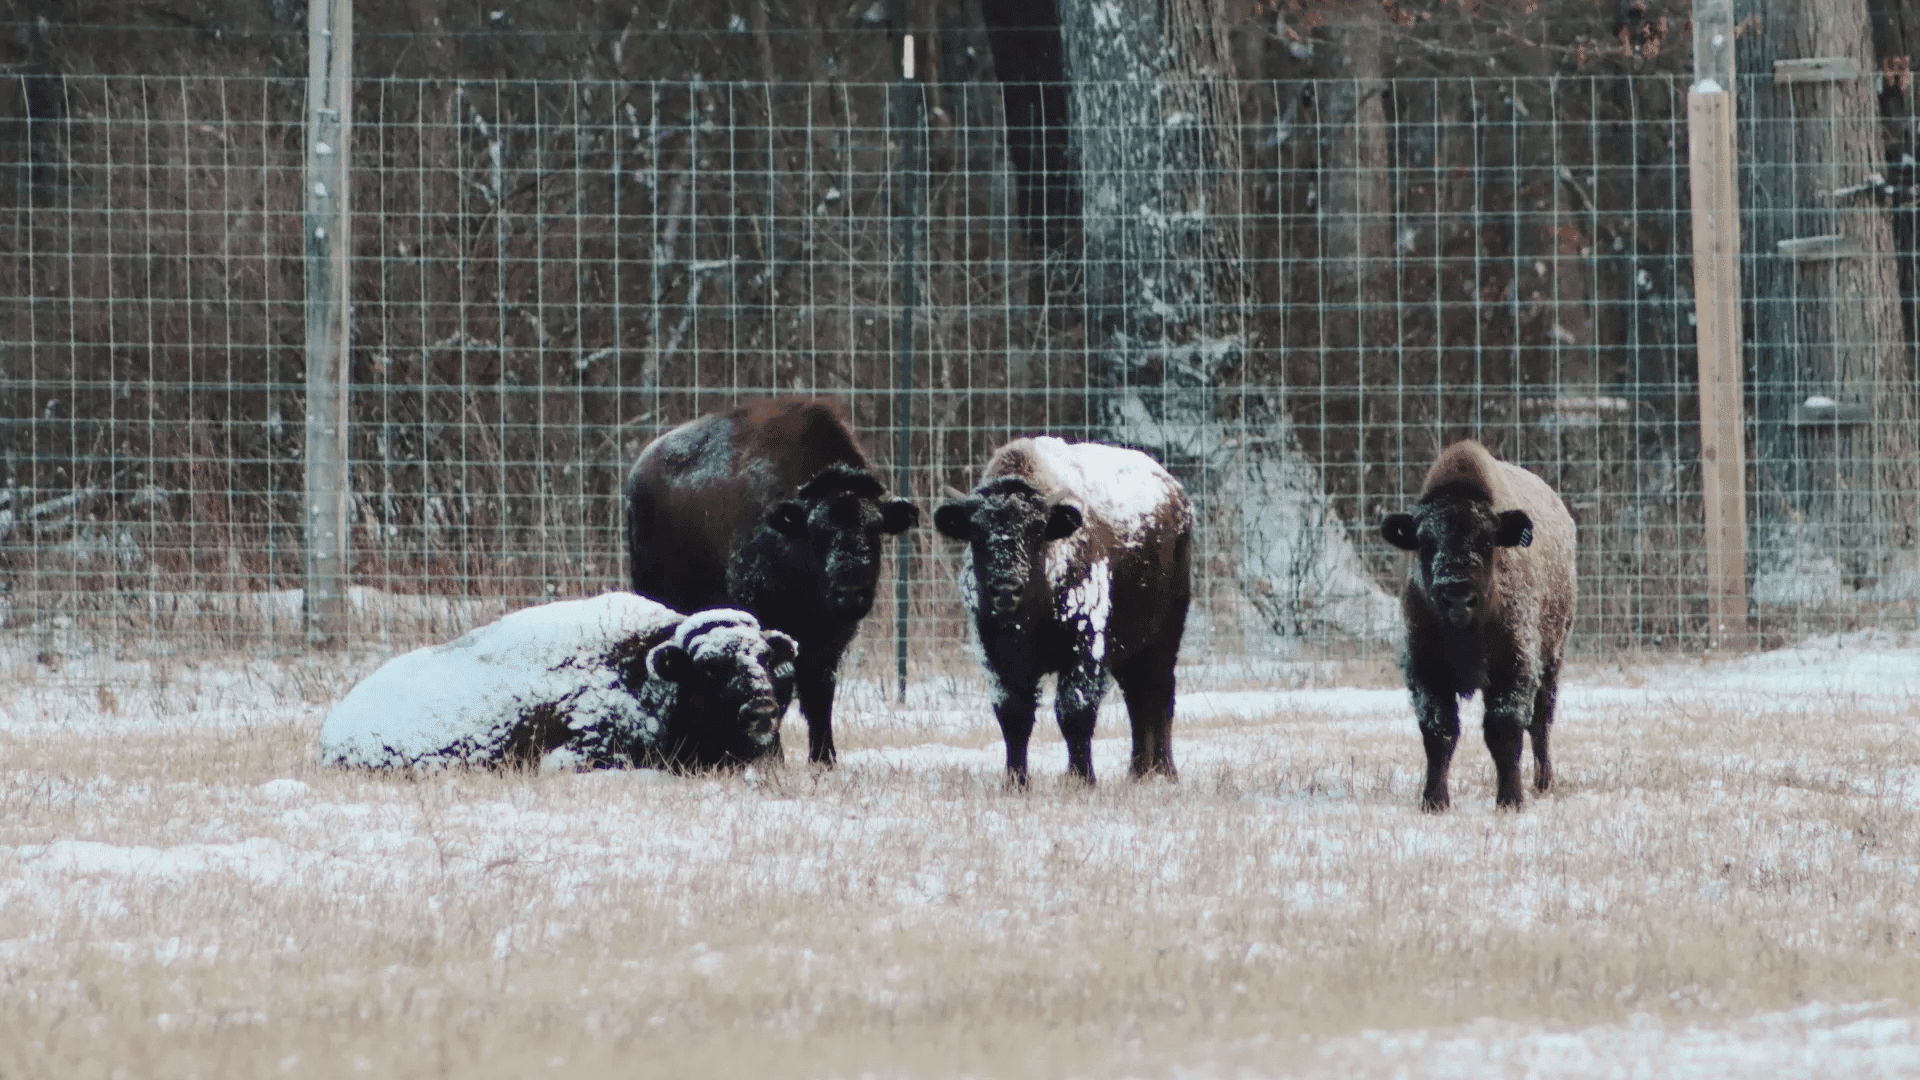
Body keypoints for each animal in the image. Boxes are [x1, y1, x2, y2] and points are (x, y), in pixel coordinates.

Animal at [618, 397, 910, 764]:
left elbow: (820, 695)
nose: (850, 591)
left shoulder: (830, 641)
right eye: (817, 532)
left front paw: (824, 759)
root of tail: (639, 470)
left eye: (875, 529)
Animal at [936, 434, 1190, 780]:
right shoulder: (996, 656)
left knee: (1160, 693)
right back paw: (1138, 771)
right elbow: (1014, 717)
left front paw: (1081, 778)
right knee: (1137, 699)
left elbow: (1074, 711)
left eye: (1036, 530)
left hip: (1165, 634)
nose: (1005, 590)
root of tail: (1176, 494)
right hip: (1130, 649)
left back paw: (1165, 771)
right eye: (976, 531)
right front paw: (1016, 781)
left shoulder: (1085, 646)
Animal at [1382, 438, 1574, 807]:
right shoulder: (1426, 671)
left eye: (1487, 541)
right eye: (1426, 542)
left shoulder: (1513, 668)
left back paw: (1543, 783)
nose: (1457, 595)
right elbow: (1439, 734)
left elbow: (1504, 732)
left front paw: (1510, 800)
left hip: (1552, 658)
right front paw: (1434, 802)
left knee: (1541, 722)